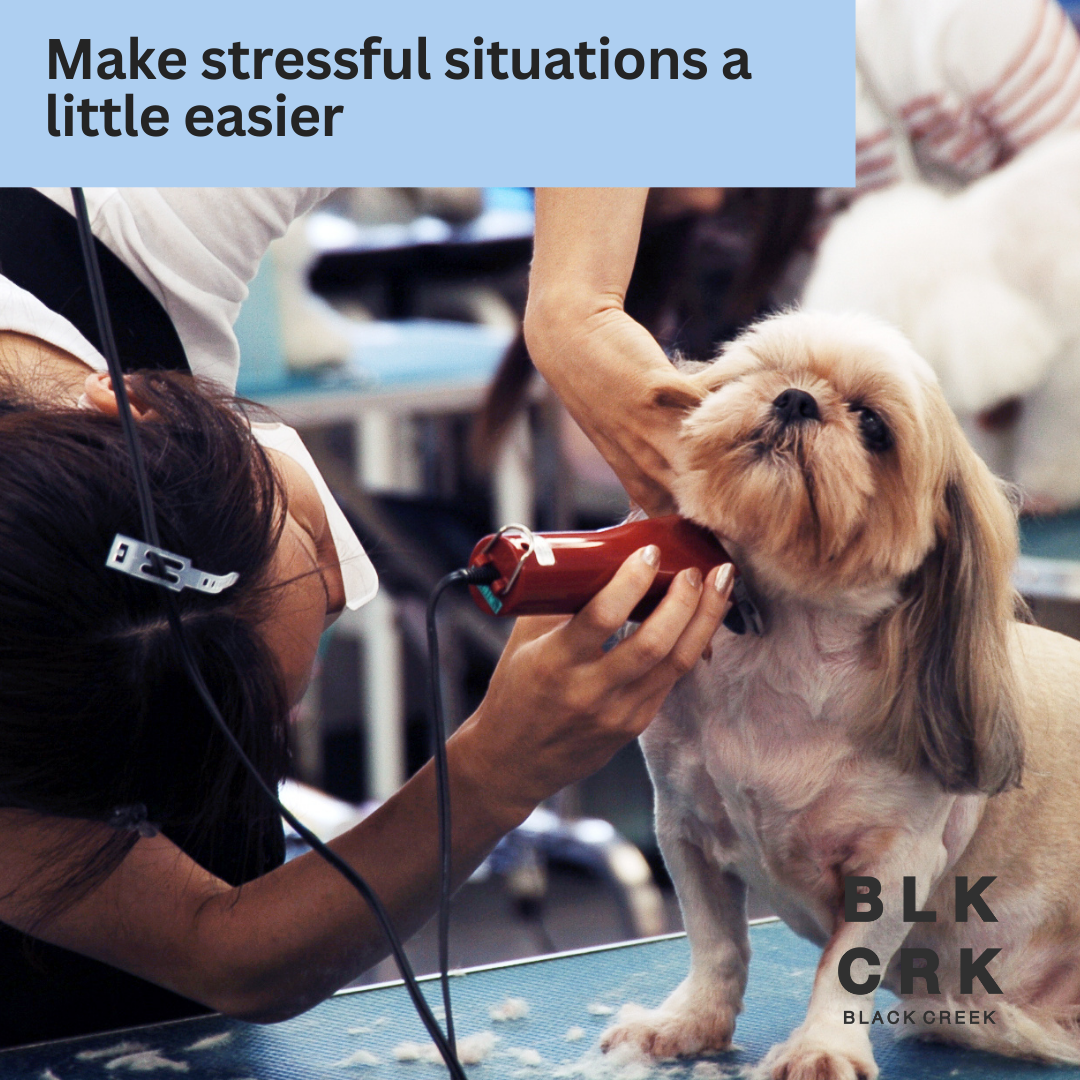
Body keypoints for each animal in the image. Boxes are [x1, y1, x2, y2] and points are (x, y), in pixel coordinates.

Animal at [604, 308, 1080, 1075]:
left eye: (875, 426)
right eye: (762, 371)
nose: (796, 400)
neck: (782, 651)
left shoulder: (896, 862)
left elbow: (845, 965)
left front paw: (823, 1046)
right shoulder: (682, 825)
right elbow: (716, 944)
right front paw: (688, 1022)